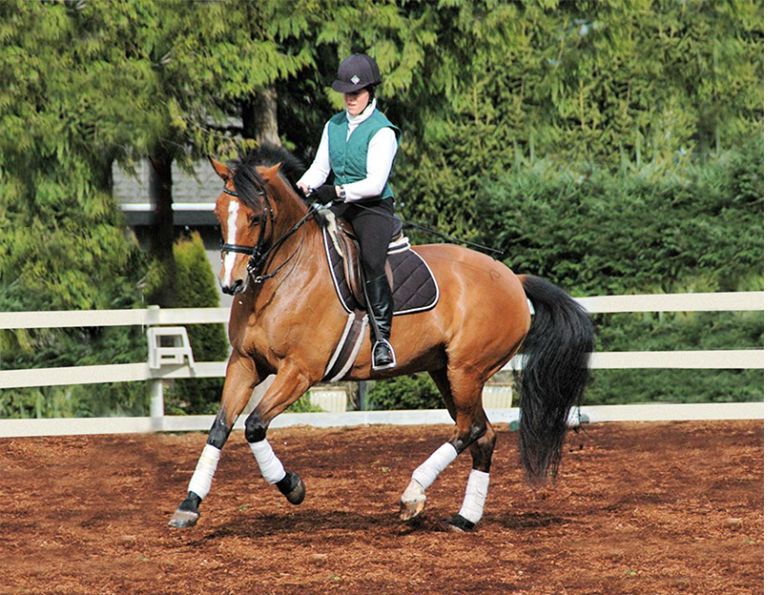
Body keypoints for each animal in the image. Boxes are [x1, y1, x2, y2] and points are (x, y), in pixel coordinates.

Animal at [168, 145, 594, 532]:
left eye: (255, 217)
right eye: (218, 214)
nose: (231, 284)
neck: (284, 278)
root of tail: (513, 279)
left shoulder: (300, 371)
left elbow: (254, 425)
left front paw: (292, 487)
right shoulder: (244, 363)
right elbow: (220, 428)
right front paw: (189, 505)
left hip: (467, 371)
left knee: (469, 430)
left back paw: (412, 496)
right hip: (446, 373)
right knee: (483, 434)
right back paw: (465, 518)